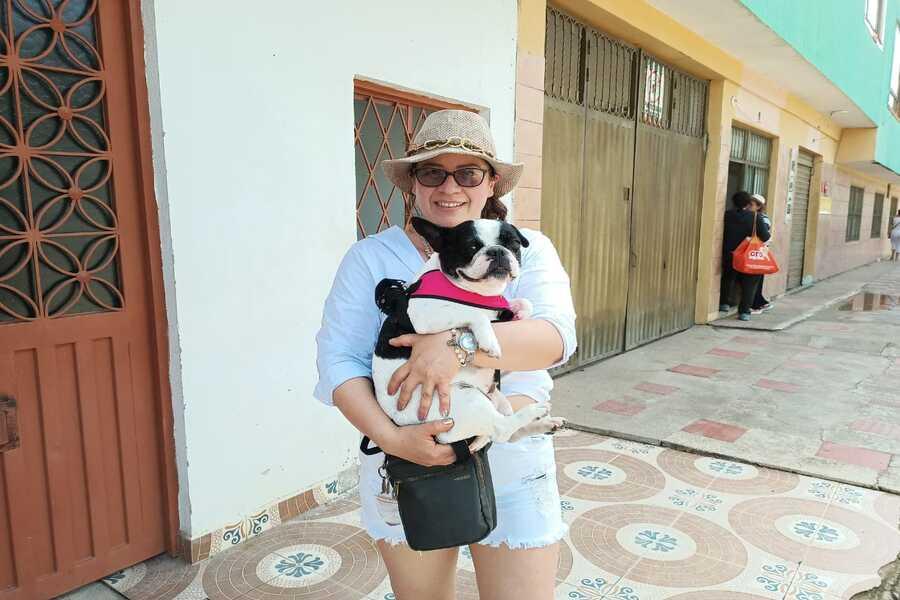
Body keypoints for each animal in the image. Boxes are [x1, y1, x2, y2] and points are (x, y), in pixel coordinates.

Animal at [371, 217, 564, 452]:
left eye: (514, 244)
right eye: (471, 247)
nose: (497, 251)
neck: (476, 293)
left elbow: (525, 304)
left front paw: (518, 313)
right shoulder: (424, 314)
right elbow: (474, 313)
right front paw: (489, 339)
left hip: (497, 400)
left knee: (507, 433)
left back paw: (545, 423)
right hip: (467, 399)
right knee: (502, 429)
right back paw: (534, 411)